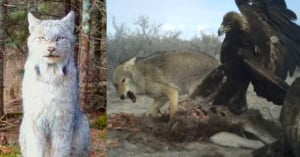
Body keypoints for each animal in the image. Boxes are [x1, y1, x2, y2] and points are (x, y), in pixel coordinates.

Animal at [19, 11, 90, 157]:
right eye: (42, 38)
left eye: (59, 38)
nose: (51, 48)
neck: (50, 74)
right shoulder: (35, 119)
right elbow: (35, 149)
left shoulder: (62, 120)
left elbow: (60, 149)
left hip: (83, 122)